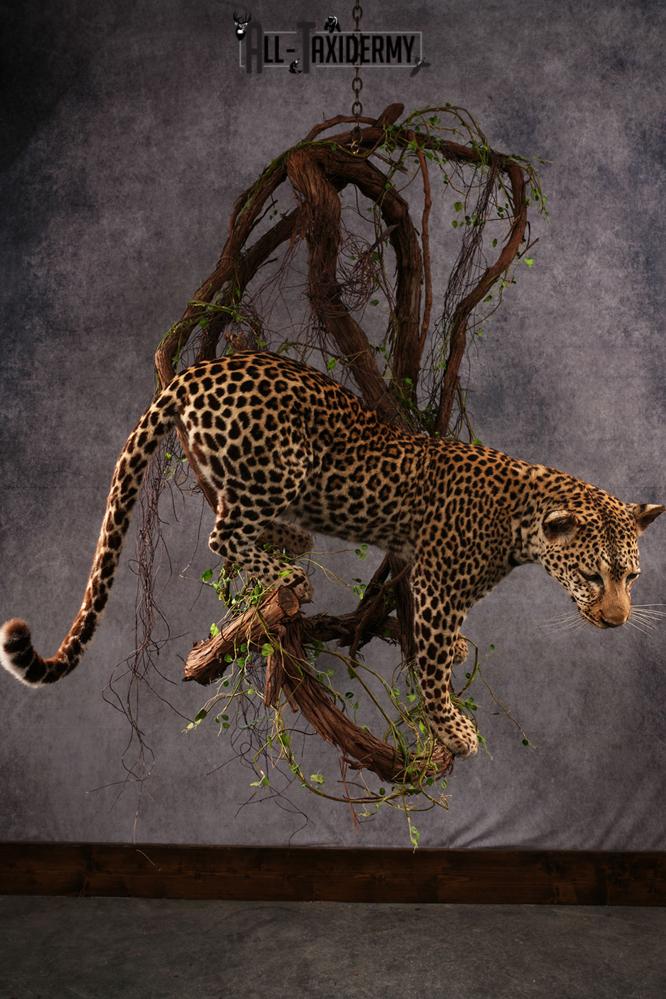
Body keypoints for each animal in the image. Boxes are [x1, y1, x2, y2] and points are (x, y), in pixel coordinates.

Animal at [1, 351, 663, 757]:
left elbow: (433, 638)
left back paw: (291, 539)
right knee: (222, 535)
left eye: (630, 577)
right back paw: (290, 569)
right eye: (592, 575)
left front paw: (456, 655)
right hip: (283, 464)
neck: (523, 526)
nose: (617, 620)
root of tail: (199, 369)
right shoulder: (437, 587)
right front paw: (455, 731)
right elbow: (431, 671)